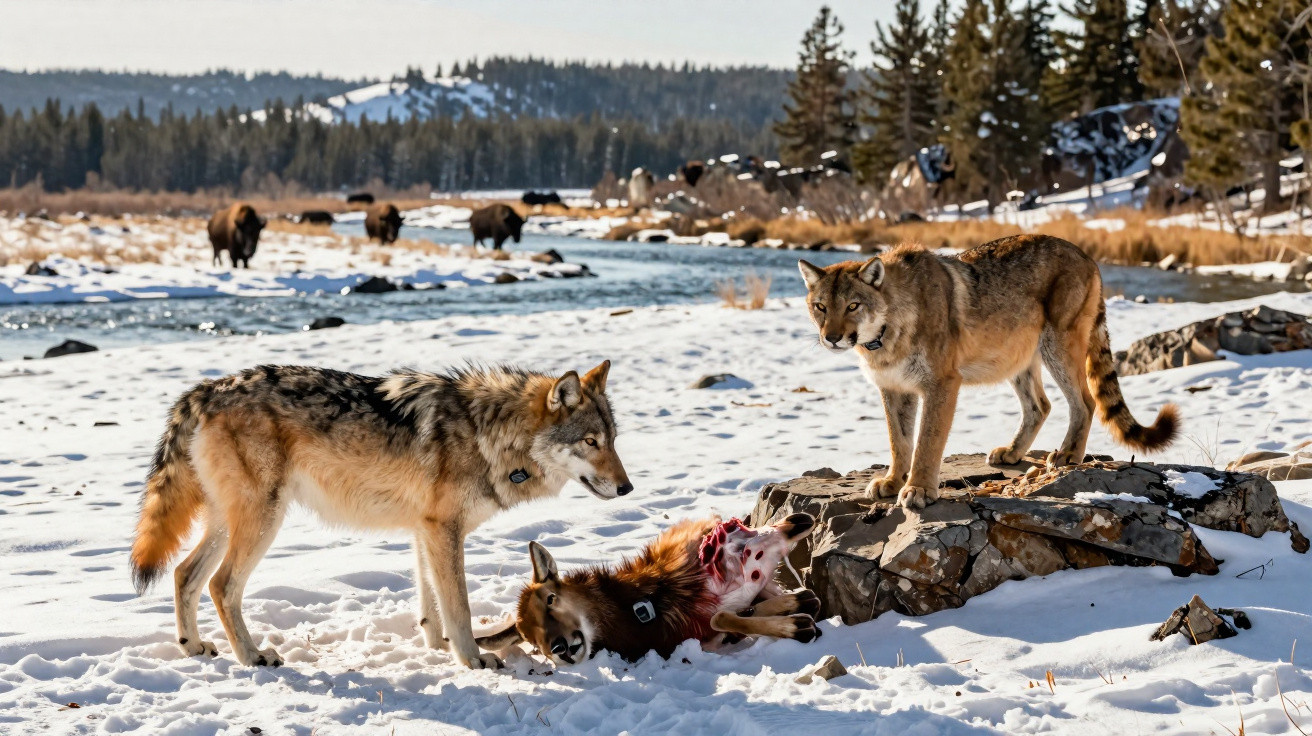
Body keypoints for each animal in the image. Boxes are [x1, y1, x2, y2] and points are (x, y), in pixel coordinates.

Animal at [129, 361, 631, 670]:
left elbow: (432, 607)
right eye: (590, 442)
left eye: (611, 440)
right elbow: (460, 607)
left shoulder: (425, 531)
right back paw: (252, 657)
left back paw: (194, 647)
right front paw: (472, 660)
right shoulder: (445, 531)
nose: (627, 488)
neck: (489, 434)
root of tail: (204, 390)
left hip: (227, 523)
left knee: (183, 574)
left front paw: (439, 648)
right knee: (221, 585)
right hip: (263, 522)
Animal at [476, 514, 821, 664]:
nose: (559, 648)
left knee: (790, 524)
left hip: (759, 540)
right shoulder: (703, 639)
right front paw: (795, 615)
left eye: (550, 599)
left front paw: (795, 622)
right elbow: (725, 618)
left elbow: (722, 616)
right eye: (529, 639)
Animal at [799, 234, 1178, 509]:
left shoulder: (941, 383)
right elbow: (899, 440)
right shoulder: (894, 388)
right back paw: (1012, 452)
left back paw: (1069, 454)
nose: (831, 337)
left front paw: (918, 488)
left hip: (1058, 345)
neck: (884, 337)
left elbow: (927, 440)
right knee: (1040, 405)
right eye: (820, 306)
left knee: (1083, 402)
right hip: (1016, 357)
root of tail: (1086, 254)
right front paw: (892, 482)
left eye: (853, 305)